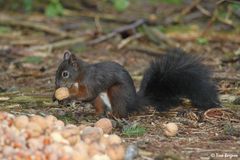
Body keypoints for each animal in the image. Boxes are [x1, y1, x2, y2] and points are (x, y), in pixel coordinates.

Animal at [52, 48, 219, 117]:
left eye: (65, 74)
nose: (57, 85)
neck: (80, 75)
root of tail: (134, 102)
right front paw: (58, 97)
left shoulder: (91, 82)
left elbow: (86, 94)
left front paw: (67, 97)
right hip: (100, 99)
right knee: (100, 109)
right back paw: (91, 114)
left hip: (116, 92)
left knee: (122, 112)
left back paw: (114, 115)